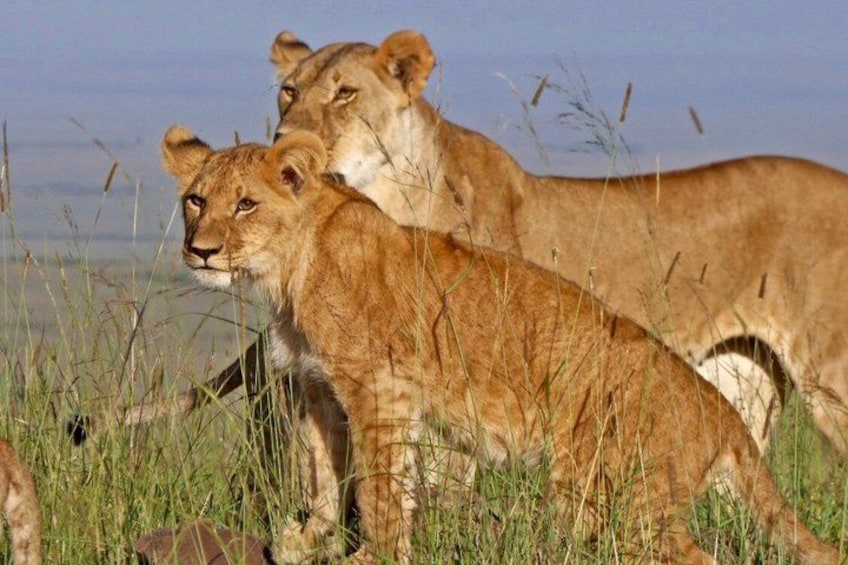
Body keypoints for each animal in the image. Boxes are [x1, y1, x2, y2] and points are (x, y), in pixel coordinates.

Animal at [161, 126, 840, 564]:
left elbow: (380, 485)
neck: (290, 268)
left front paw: (374, 554)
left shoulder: (380, 387)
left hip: (612, 494)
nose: (200, 250)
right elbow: (324, 475)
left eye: (246, 204)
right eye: (196, 199)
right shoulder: (320, 387)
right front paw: (309, 540)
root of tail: (719, 410)